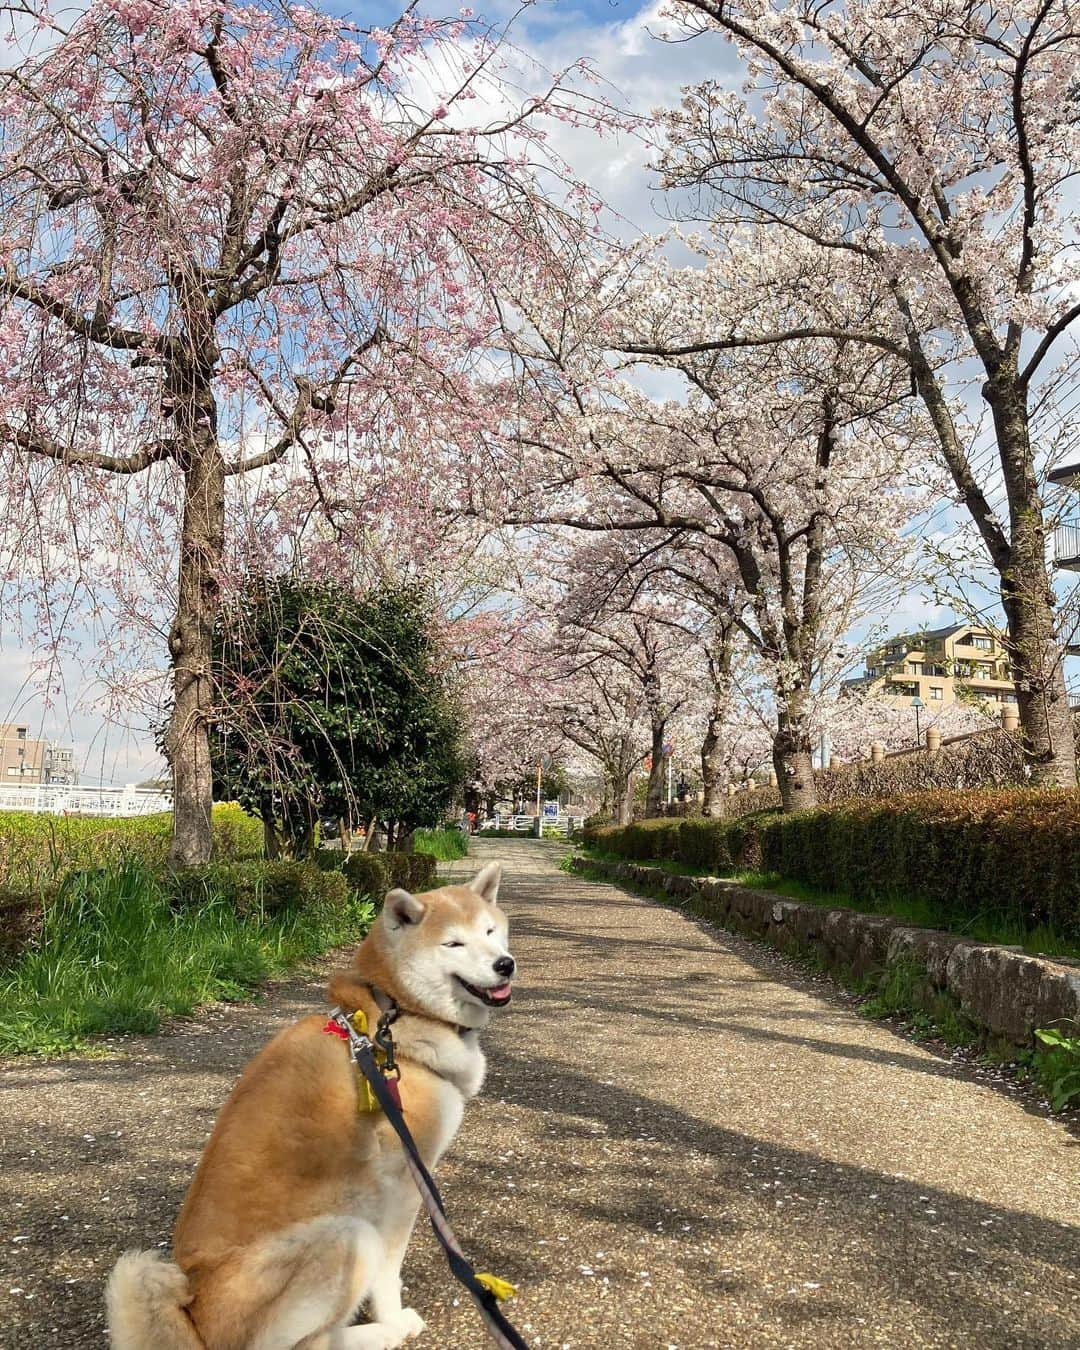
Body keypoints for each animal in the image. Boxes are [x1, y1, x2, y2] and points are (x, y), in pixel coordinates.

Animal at [106, 858, 515, 1344]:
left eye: (490, 931)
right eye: (454, 943)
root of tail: (195, 1317)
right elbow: (388, 1273)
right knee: (311, 1343)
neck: (393, 1017)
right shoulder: (404, 1184)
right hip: (349, 1236)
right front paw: (392, 1314)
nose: (505, 965)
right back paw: (386, 1332)